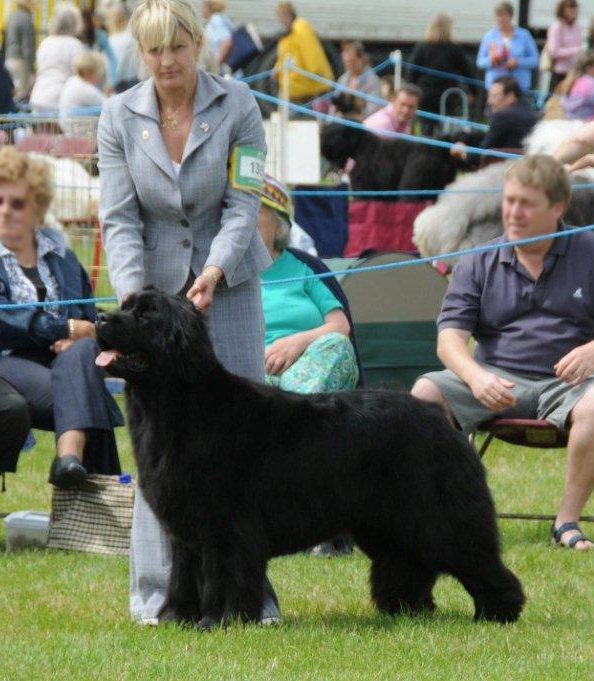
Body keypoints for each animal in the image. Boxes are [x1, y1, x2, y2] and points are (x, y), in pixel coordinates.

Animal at [96, 286, 524, 628]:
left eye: (145, 315)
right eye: (125, 305)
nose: (99, 317)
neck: (175, 404)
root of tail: (440, 418)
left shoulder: (224, 524)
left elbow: (220, 574)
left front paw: (217, 621)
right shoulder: (183, 523)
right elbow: (182, 576)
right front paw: (175, 619)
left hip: (438, 515)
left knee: (474, 557)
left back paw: (498, 612)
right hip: (386, 522)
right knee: (408, 562)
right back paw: (405, 609)